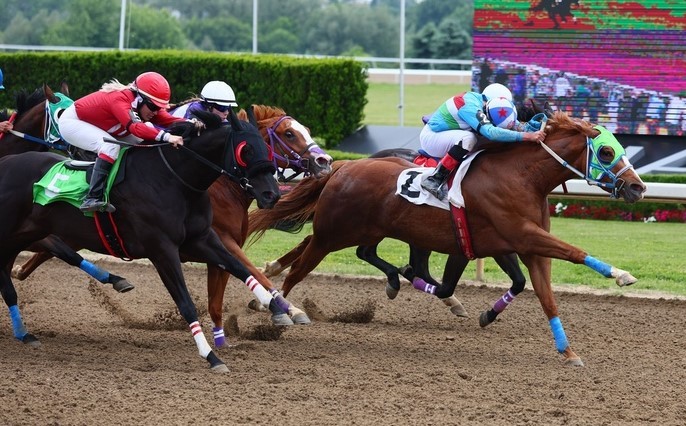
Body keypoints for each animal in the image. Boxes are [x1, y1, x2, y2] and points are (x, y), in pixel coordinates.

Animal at [250, 113, 648, 366]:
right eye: (607, 152)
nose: (638, 187)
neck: (522, 177)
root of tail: (343, 166)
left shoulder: (525, 246)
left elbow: (545, 297)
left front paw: (568, 352)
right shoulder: (516, 236)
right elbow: (574, 251)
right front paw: (621, 275)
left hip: (353, 231)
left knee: (327, 252)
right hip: (333, 233)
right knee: (300, 268)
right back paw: (279, 311)